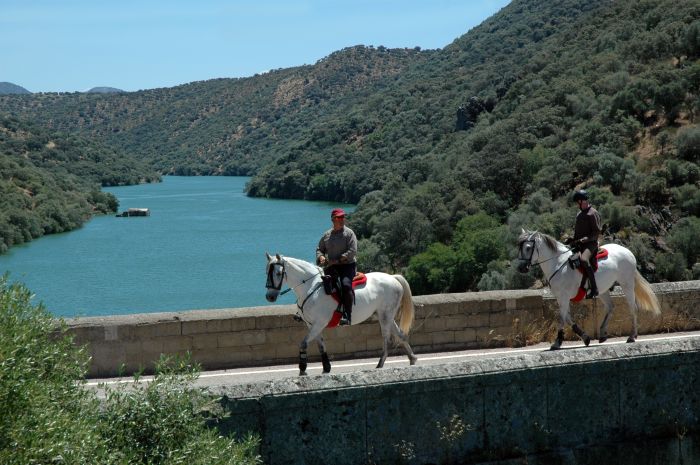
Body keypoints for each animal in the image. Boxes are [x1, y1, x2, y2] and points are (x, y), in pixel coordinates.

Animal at [262, 252, 416, 376]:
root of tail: (393, 278)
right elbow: (321, 345)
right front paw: (326, 367)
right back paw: (412, 358)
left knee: (387, 338)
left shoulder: (319, 323)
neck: (311, 288)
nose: (270, 297)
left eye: (278, 273)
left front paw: (303, 368)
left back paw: (381, 363)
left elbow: (304, 343)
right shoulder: (312, 325)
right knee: (400, 334)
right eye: (266, 272)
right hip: (385, 315)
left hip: (385, 315)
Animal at [516, 228, 660, 348]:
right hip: (603, 290)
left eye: (528, 248)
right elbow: (568, 318)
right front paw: (585, 337)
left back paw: (632, 336)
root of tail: (628, 251)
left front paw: (557, 342)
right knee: (610, 307)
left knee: (633, 307)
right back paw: (602, 334)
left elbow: (562, 318)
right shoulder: (561, 298)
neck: (558, 264)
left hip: (627, 284)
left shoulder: (563, 297)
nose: (521, 268)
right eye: (520, 247)